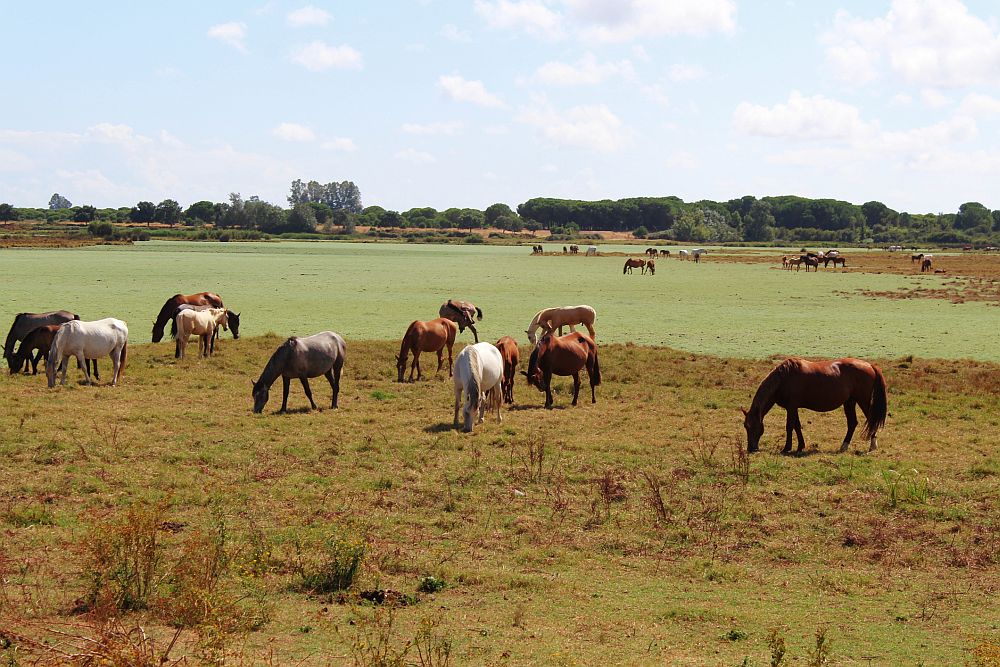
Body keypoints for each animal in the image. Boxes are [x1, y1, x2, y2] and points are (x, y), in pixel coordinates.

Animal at [744, 358, 892, 456]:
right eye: (745, 426)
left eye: (753, 427)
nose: (751, 448)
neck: (784, 378)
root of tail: (869, 365)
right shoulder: (793, 408)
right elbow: (797, 426)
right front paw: (800, 446)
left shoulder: (791, 407)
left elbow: (790, 426)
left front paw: (787, 448)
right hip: (850, 402)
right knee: (852, 423)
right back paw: (843, 447)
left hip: (862, 401)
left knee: (871, 421)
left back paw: (873, 446)